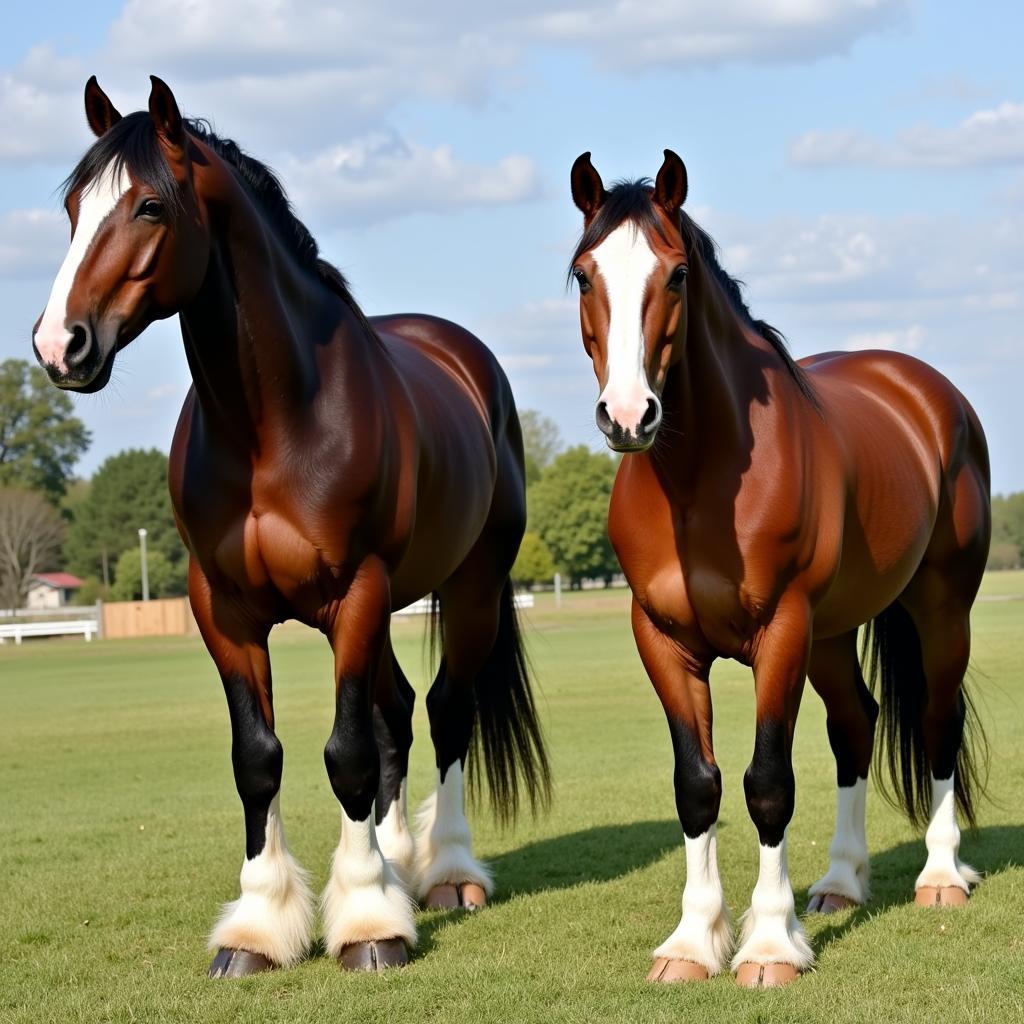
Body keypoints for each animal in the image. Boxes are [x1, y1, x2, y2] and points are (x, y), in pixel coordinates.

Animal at [32, 77, 548, 974]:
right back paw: (396, 862)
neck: (274, 427)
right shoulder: (225, 609)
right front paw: (261, 926)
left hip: (470, 588)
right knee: (396, 715)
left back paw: (444, 873)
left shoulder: (357, 591)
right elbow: (259, 758)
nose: (59, 345)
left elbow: (345, 754)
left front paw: (369, 924)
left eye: (149, 206)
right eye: (71, 205)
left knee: (444, 711)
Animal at [569, 149, 991, 983]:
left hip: (938, 609)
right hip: (830, 636)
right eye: (583, 275)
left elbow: (768, 785)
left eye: (676, 274)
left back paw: (940, 875)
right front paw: (693, 943)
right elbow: (697, 785)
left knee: (937, 720)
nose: (629, 416)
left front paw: (768, 946)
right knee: (857, 726)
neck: (699, 481)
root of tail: (929, 393)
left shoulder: (781, 631)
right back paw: (840, 883)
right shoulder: (663, 639)